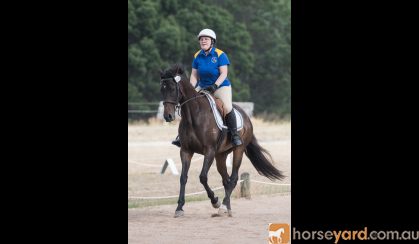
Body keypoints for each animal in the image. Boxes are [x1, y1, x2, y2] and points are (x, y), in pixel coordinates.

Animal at [160, 63, 286, 217]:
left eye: (172, 89)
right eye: (162, 89)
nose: (168, 116)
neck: (194, 115)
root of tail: (246, 117)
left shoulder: (209, 151)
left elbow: (203, 177)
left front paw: (215, 201)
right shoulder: (186, 151)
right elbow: (183, 177)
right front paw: (179, 208)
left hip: (238, 150)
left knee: (233, 179)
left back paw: (223, 206)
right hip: (221, 156)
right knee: (226, 180)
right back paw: (227, 208)